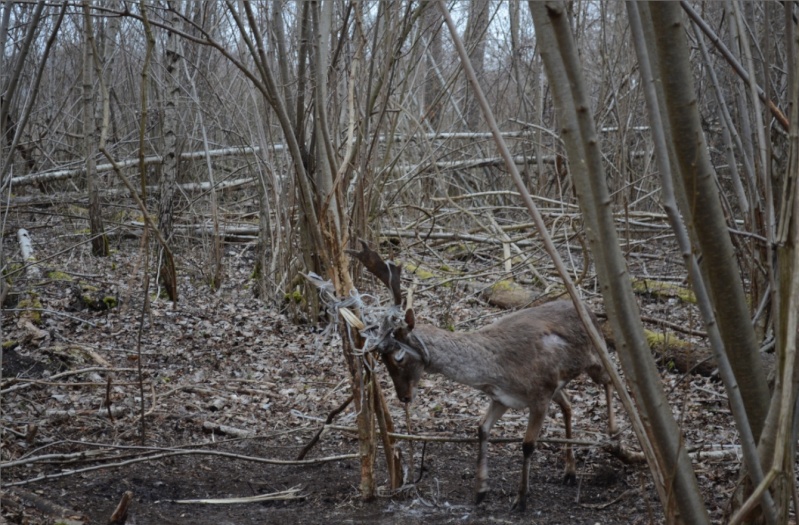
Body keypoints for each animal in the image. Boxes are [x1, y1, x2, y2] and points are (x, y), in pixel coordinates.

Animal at [350, 242, 620, 512]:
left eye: (398, 357)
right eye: (381, 360)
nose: (404, 397)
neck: (499, 371)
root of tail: (590, 311)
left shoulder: (540, 394)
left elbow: (527, 445)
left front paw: (520, 499)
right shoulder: (503, 398)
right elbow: (481, 428)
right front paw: (480, 491)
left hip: (594, 357)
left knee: (610, 380)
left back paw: (613, 432)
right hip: (558, 384)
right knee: (568, 405)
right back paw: (570, 472)